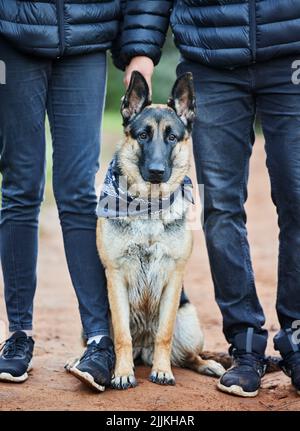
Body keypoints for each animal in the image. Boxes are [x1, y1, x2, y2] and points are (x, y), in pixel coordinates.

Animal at [96, 72, 225, 390]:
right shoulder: (115, 276)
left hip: (189, 322)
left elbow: (164, 334)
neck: (149, 208)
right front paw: (122, 373)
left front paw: (162, 371)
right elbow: (122, 336)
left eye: (171, 137)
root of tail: (144, 349)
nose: (156, 171)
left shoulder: (174, 275)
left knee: (188, 356)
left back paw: (207, 365)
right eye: (143, 135)